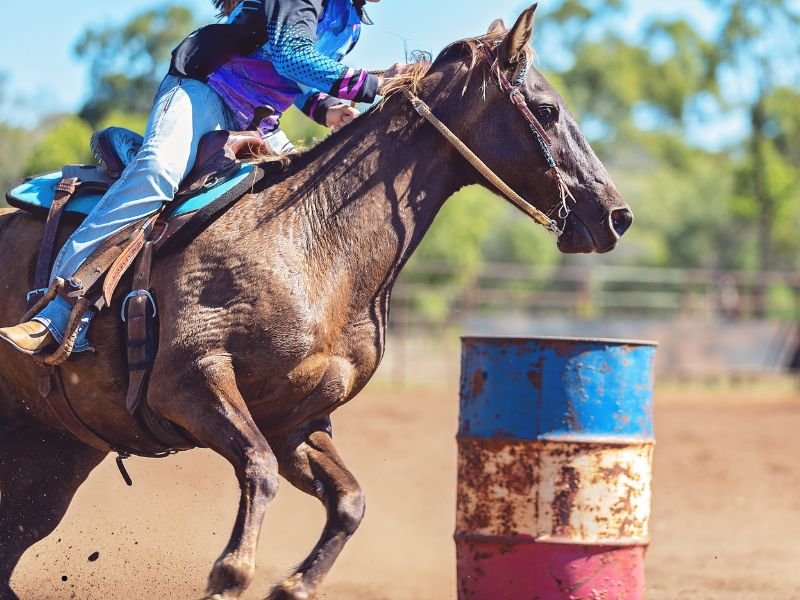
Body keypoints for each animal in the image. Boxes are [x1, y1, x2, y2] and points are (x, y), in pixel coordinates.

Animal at [1, 5, 632, 600]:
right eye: (546, 110)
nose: (616, 215)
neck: (313, 241)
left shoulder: (296, 420)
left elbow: (349, 499)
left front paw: (292, 584)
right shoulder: (188, 382)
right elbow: (257, 470)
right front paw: (231, 574)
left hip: (52, 452)